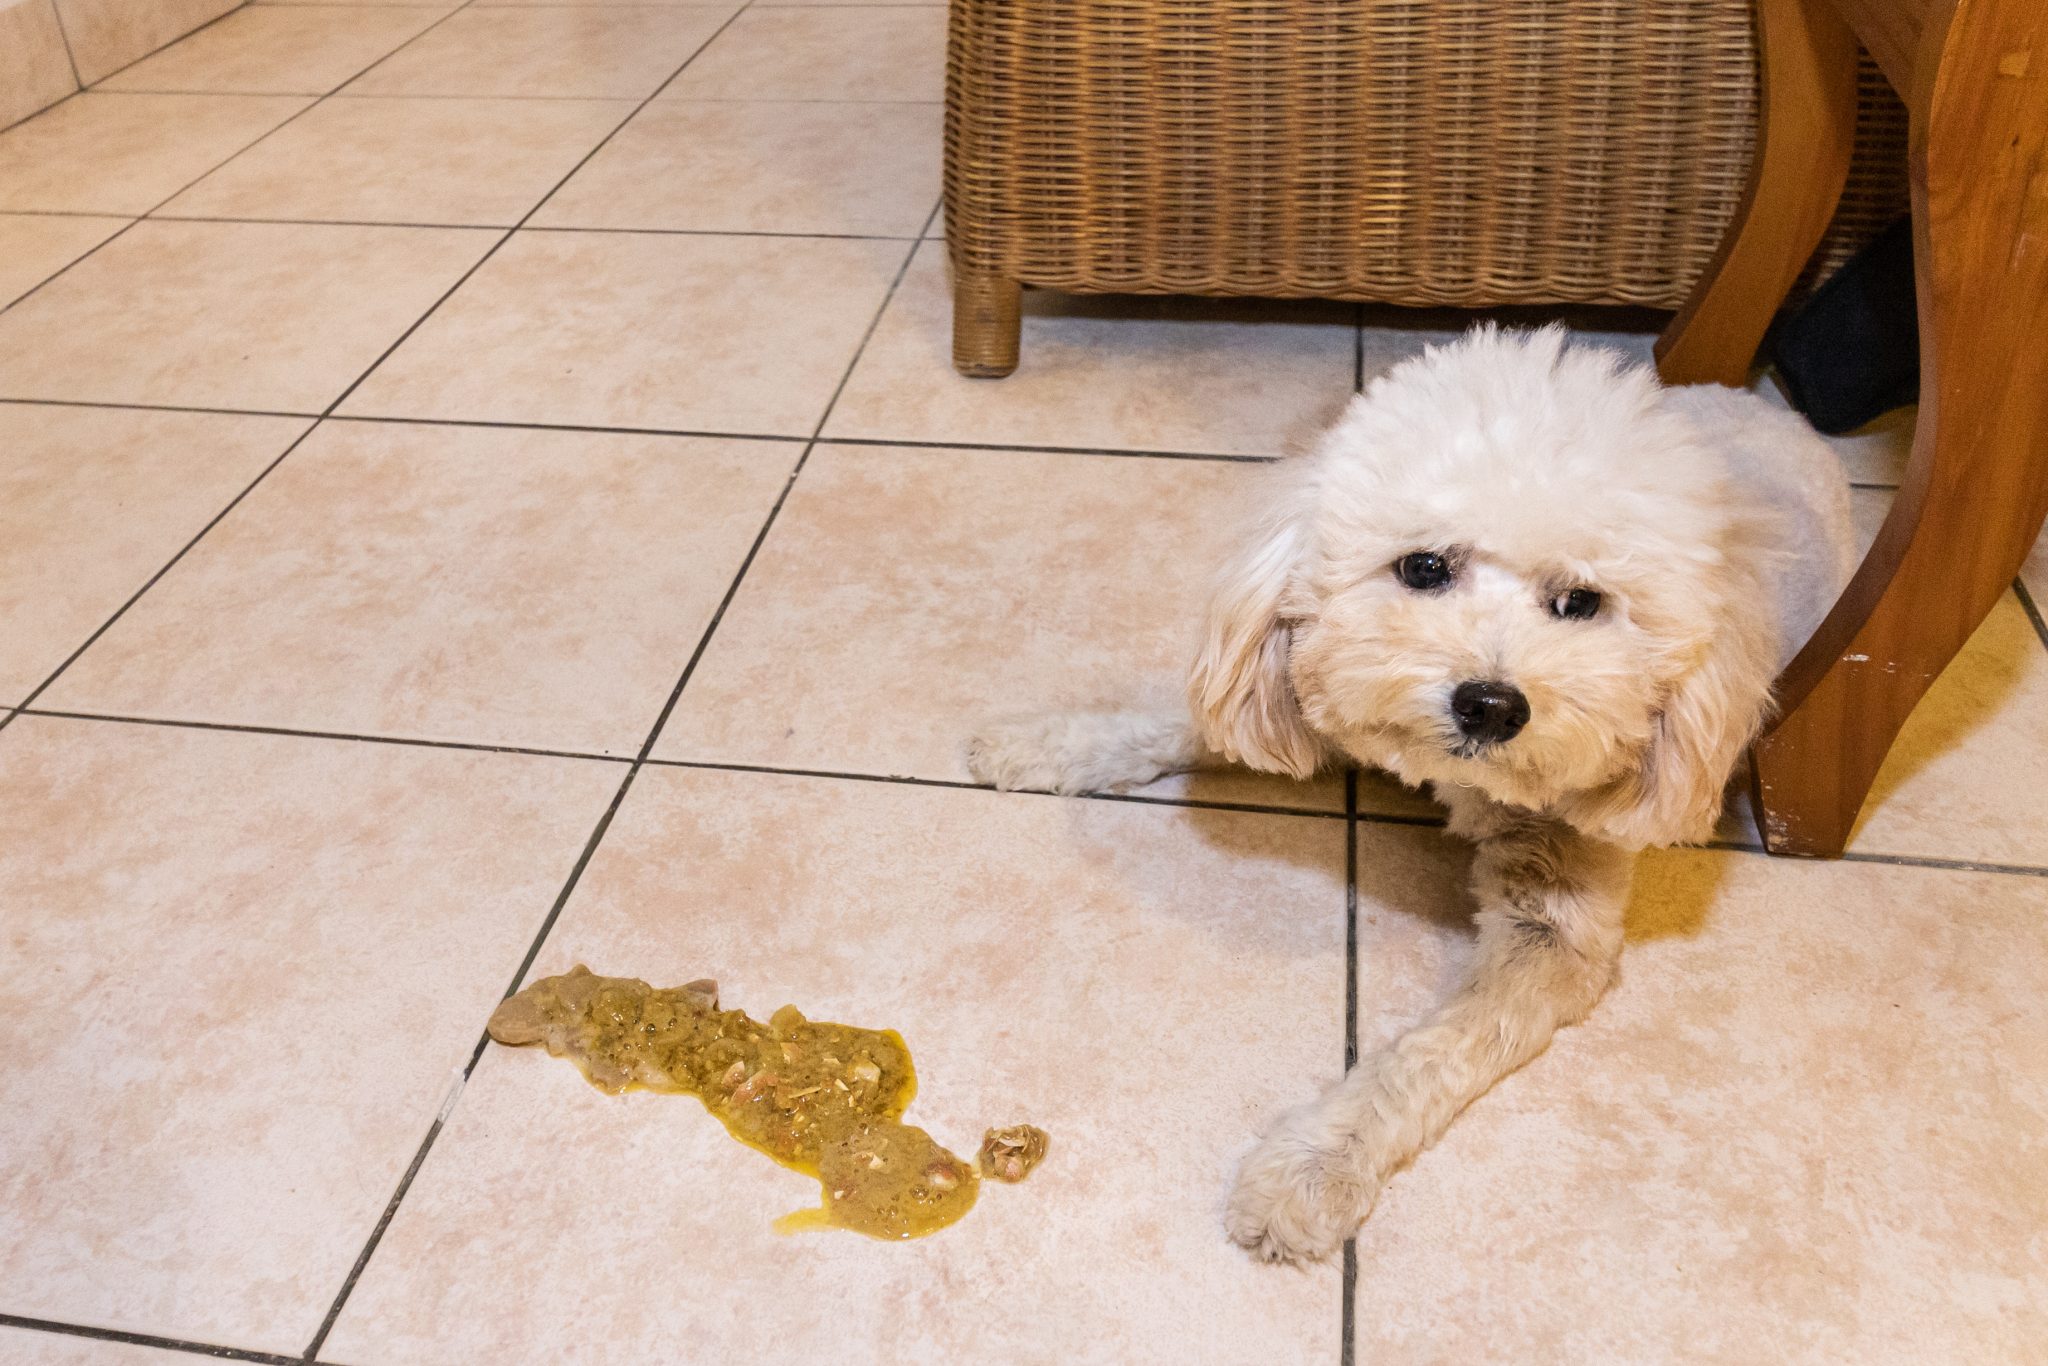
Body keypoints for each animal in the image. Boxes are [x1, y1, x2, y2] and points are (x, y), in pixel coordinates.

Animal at [962, 325, 1859, 1269]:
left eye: (1582, 601)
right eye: (1423, 566)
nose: (1492, 705)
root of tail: (1775, 415)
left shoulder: (1556, 933)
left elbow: (1429, 1057)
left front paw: (1312, 1168)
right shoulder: (1312, 690)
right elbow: (1191, 722)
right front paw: (1051, 742)